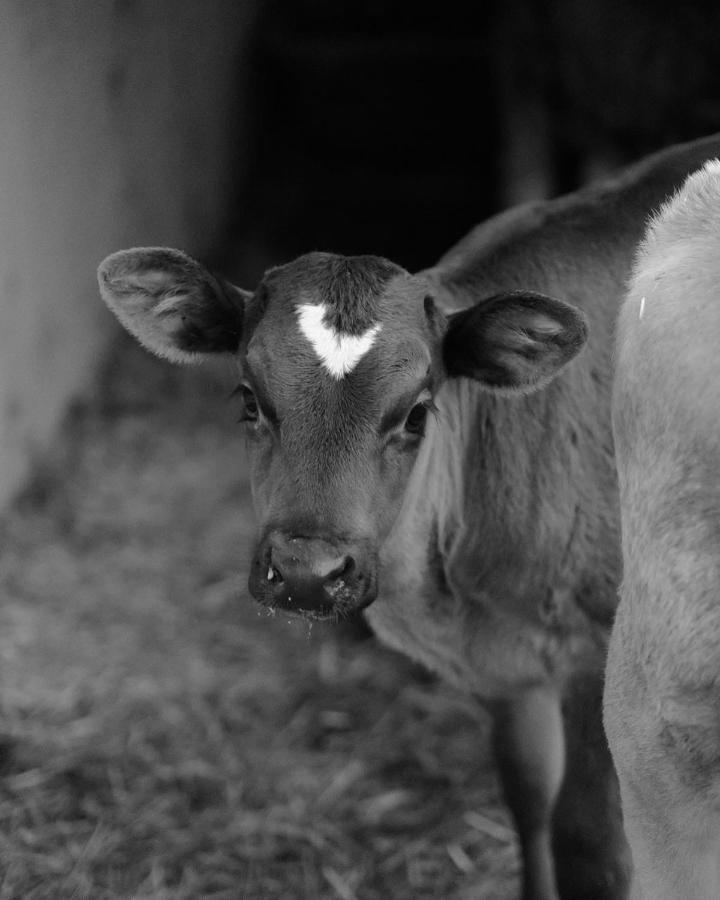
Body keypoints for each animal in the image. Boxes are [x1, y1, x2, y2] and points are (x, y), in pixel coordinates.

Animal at [98, 135, 720, 900]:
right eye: (247, 397)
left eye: (418, 412)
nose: (306, 573)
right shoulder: (505, 672)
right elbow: (529, 806)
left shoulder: (598, 655)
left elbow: (589, 847)